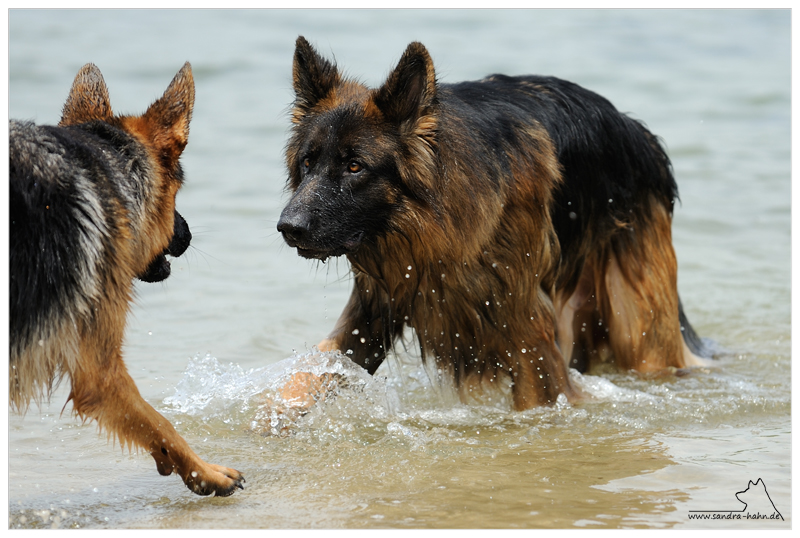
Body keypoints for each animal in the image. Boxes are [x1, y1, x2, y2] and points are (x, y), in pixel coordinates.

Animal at [278, 36, 708, 410]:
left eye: (355, 167)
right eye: (308, 162)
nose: (288, 227)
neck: (437, 230)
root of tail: (640, 132)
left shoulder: (529, 333)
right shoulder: (372, 311)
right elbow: (303, 379)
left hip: (639, 332)